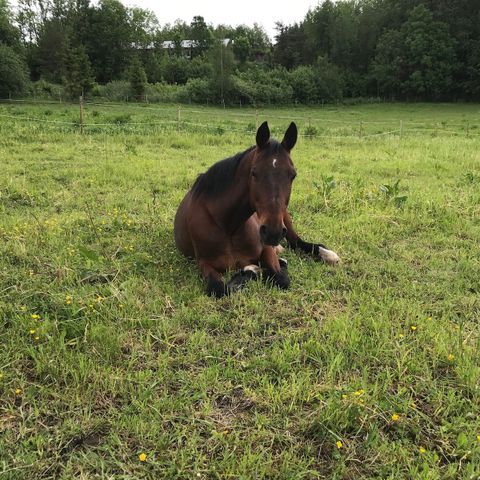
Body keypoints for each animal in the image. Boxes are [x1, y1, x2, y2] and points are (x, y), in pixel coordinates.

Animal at [174, 121, 340, 296]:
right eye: (254, 172)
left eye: (293, 175)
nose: (273, 232)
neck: (227, 226)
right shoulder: (204, 264)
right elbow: (220, 289)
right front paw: (252, 269)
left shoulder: (267, 250)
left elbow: (281, 278)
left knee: (296, 242)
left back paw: (328, 254)